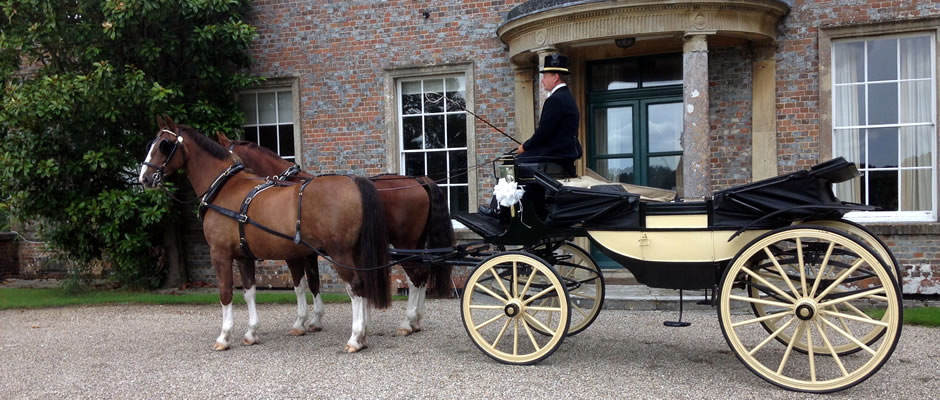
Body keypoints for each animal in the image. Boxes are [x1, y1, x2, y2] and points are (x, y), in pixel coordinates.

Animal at [138, 115, 388, 354]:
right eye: (151, 143)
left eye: (164, 144)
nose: (144, 178)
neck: (223, 188)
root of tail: (354, 181)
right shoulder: (244, 256)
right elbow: (250, 292)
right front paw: (251, 333)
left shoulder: (220, 253)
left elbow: (226, 293)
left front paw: (224, 337)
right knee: (363, 284)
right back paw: (363, 334)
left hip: (339, 253)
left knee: (355, 287)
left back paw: (355, 338)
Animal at [220, 133, 456, 336]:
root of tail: (418, 180)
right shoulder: (309, 252)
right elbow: (314, 282)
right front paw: (317, 319)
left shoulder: (294, 253)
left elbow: (301, 285)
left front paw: (302, 322)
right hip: (414, 244)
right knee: (422, 274)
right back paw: (416, 319)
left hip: (404, 243)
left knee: (416, 276)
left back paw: (408, 321)